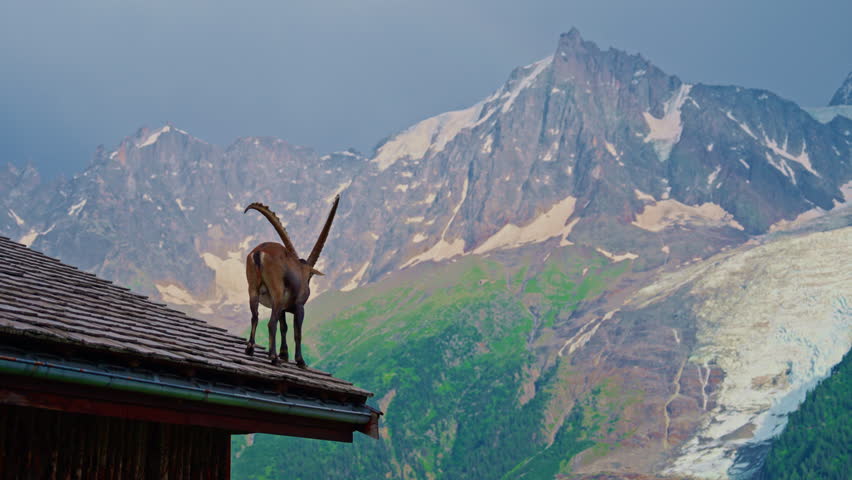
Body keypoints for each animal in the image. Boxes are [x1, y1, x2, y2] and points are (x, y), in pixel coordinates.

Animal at [243, 195, 339, 367]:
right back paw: (273, 357)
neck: (301, 270)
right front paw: (300, 360)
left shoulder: (283, 308)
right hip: (277, 292)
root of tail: (259, 253)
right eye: (309, 277)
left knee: (255, 316)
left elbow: (284, 327)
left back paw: (250, 349)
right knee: (271, 323)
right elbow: (296, 332)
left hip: (253, 289)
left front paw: (284, 354)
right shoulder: (299, 306)